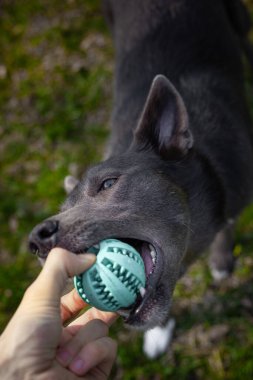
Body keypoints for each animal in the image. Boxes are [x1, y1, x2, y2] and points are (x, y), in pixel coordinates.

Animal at [28, 0, 253, 358]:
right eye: (64, 208)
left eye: (108, 184)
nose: (36, 238)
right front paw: (158, 333)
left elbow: (228, 222)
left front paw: (221, 260)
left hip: (238, 16)